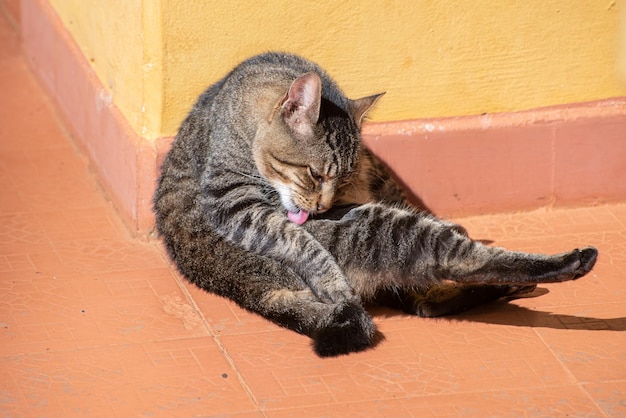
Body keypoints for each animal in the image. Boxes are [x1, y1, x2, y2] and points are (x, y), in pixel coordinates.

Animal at [154, 52, 596, 358]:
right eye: (315, 174)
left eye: (343, 178)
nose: (323, 207)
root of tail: (248, 286)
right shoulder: (231, 199)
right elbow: (304, 246)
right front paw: (331, 278)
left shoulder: (371, 171)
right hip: (380, 230)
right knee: (457, 265)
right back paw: (566, 264)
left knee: (426, 299)